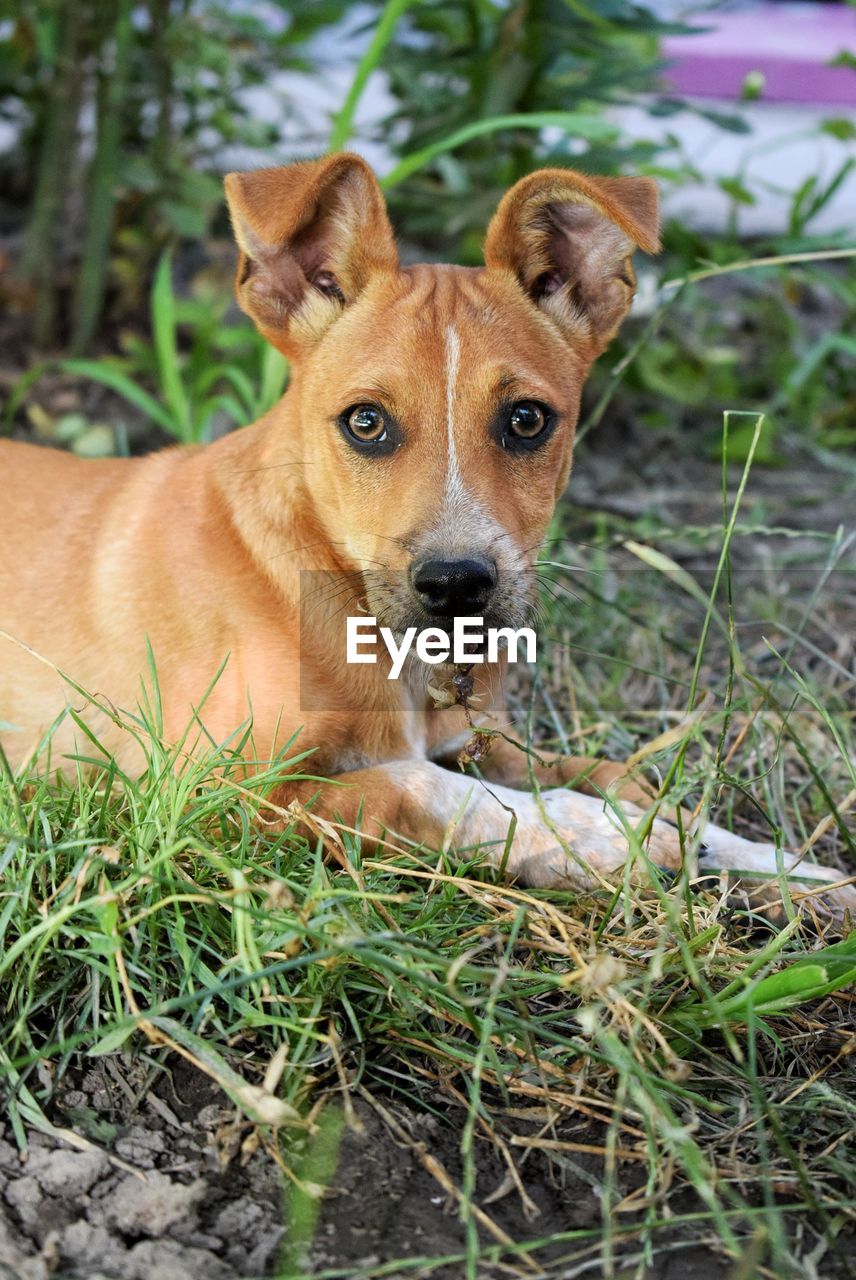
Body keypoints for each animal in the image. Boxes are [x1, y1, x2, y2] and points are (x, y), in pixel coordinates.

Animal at [0, 154, 849, 916]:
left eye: (527, 419)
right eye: (365, 422)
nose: (457, 584)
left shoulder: (479, 736)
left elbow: (615, 776)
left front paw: (782, 867)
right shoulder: (197, 795)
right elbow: (427, 788)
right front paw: (593, 834)